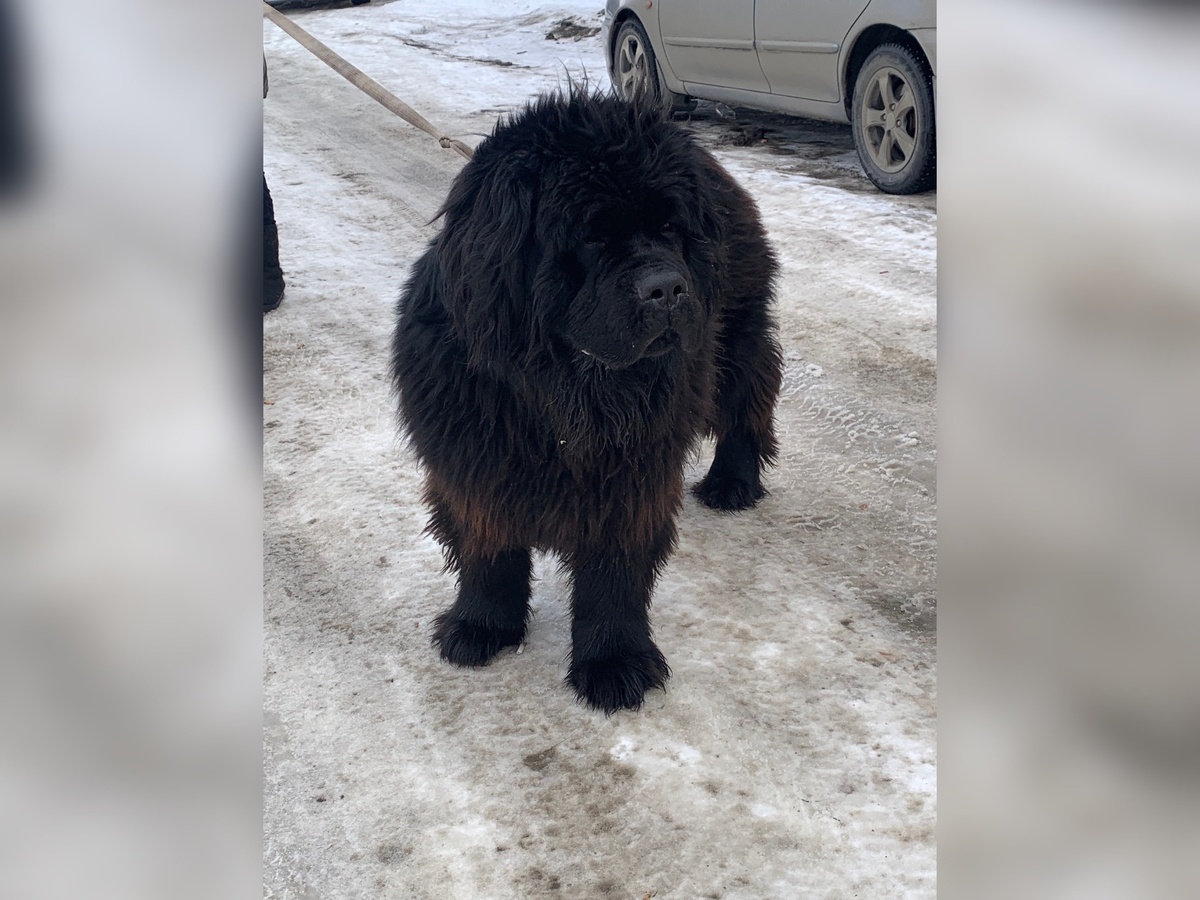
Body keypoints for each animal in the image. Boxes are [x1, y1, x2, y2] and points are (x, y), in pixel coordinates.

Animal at [392, 90, 782, 712]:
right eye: (594, 236)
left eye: (670, 228)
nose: (667, 288)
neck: (565, 393)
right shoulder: (474, 461)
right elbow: (487, 549)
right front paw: (482, 626)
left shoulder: (630, 476)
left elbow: (612, 574)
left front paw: (613, 663)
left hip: (735, 338)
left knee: (747, 407)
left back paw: (732, 483)